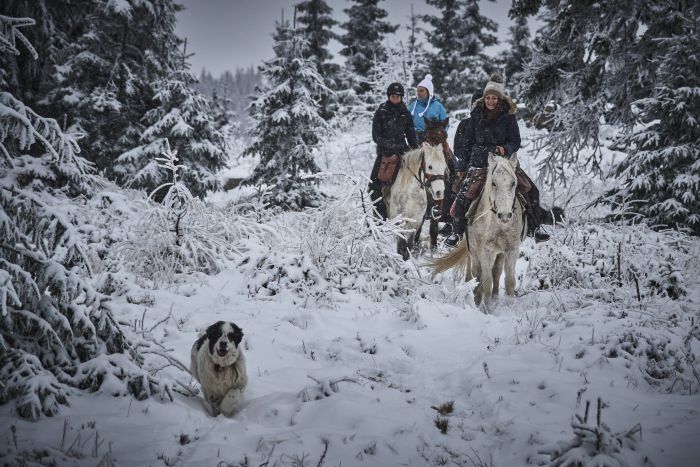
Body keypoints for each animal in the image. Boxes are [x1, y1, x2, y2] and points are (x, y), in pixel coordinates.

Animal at [426, 154, 524, 308]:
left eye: (513, 183)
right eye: (493, 183)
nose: (505, 215)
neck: (499, 225)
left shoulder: (512, 249)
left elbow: (509, 281)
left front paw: (508, 306)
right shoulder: (485, 250)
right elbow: (486, 280)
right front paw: (485, 308)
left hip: (498, 253)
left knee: (495, 272)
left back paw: (494, 297)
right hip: (473, 248)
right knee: (476, 273)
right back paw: (476, 297)